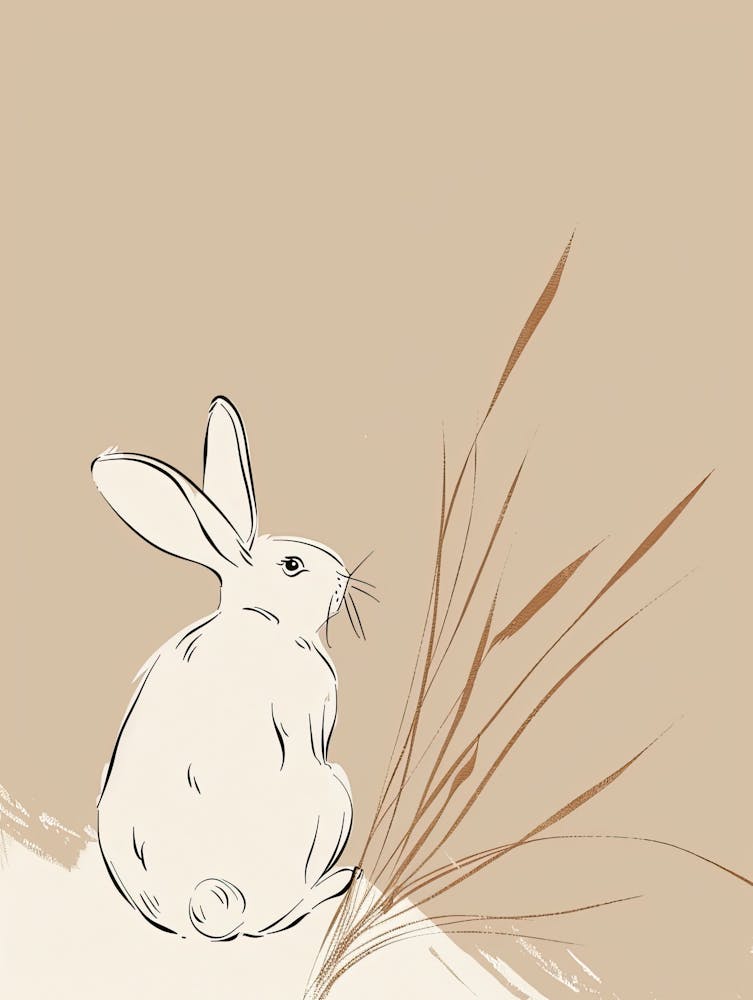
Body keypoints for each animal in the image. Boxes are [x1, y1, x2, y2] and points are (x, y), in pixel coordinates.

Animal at [91, 396, 361, 941]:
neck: (261, 617)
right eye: (292, 566)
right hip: (335, 795)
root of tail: (208, 900)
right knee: (277, 917)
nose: (345, 578)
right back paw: (341, 879)